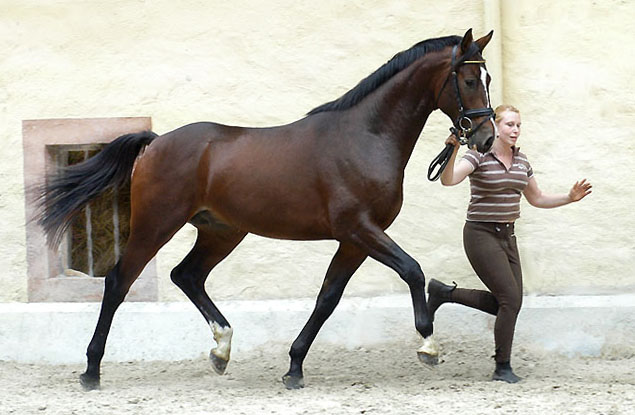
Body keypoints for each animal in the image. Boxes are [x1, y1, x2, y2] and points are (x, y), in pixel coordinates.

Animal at [38, 28, 496, 390]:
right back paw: (91, 371)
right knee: (119, 281)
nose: (487, 137)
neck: (366, 136)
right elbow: (412, 270)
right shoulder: (360, 229)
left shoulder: (354, 240)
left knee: (187, 275)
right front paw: (429, 345)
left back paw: (222, 349)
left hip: (222, 232)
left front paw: (294, 367)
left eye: (488, 77)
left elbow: (327, 298)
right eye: (470, 78)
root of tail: (155, 142)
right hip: (157, 224)